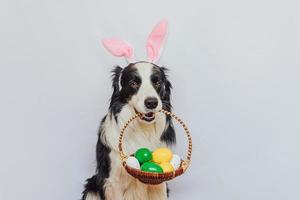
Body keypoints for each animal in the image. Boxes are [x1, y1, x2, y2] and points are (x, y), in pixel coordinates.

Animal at [81, 61, 176, 200]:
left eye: (157, 82)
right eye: (133, 83)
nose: (152, 102)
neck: (141, 129)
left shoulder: (159, 183)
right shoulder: (114, 181)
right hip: (92, 188)